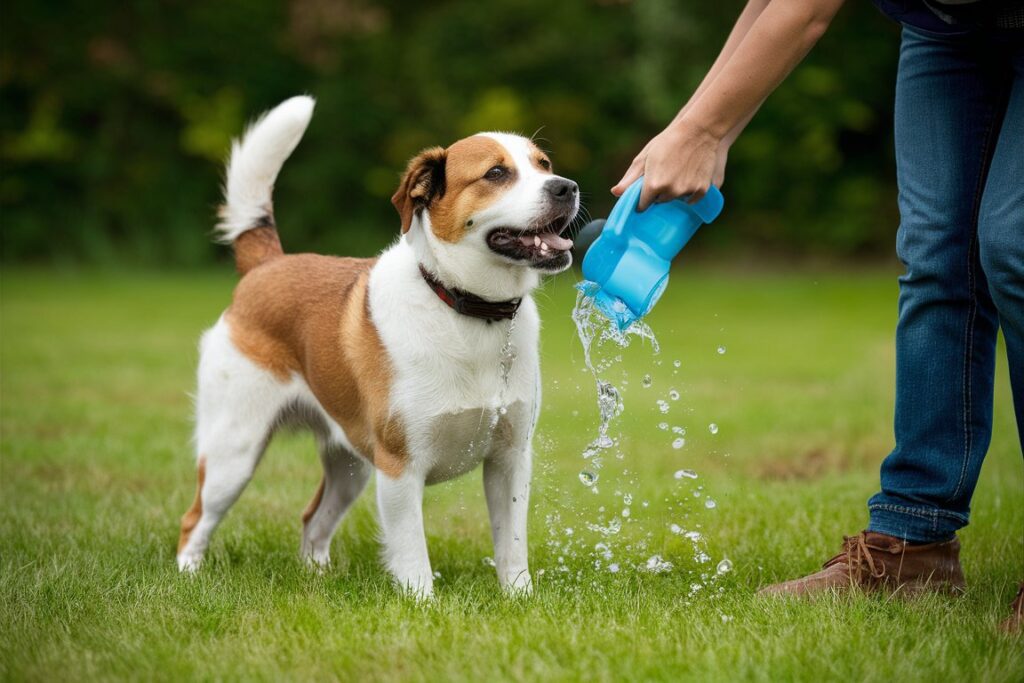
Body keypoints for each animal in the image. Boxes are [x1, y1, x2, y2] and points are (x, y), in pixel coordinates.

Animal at [175, 97, 577, 598]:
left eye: (544, 165)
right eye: (497, 173)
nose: (567, 187)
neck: (466, 309)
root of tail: (267, 266)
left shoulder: (510, 461)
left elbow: (512, 546)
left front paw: (518, 598)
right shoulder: (399, 467)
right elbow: (413, 555)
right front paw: (423, 604)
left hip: (351, 466)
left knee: (313, 521)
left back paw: (318, 578)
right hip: (234, 451)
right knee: (195, 519)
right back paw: (189, 575)